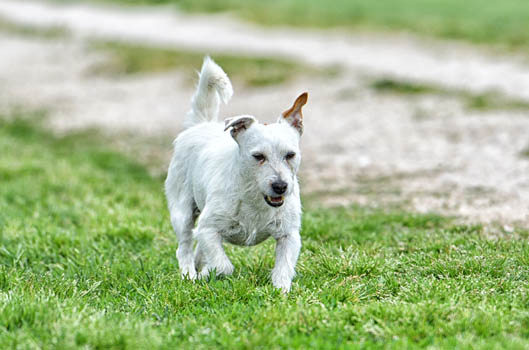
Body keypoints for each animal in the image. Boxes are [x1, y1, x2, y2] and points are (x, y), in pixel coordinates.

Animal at [164, 56, 306, 292]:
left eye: (290, 155)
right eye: (258, 156)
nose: (280, 186)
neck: (254, 198)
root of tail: (201, 123)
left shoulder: (289, 235)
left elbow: (283, 268)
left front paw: (281, 291)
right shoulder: (209, 228)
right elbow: (224, 266)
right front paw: (208, 274)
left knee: (199, 248)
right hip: (182, 213)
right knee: (184, 246)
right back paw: (190, 275)